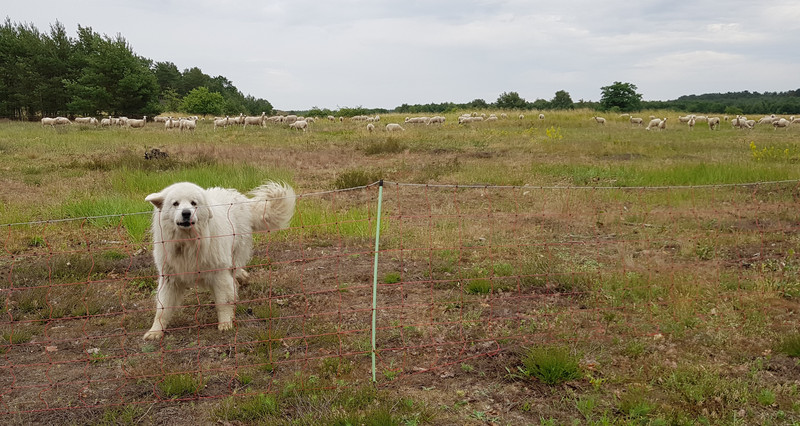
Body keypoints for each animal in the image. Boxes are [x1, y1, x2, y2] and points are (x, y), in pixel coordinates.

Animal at [142, 181, 296, 340]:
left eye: (193, 203)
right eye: (175, 203)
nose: (186, 213)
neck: (188, 242)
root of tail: (240, 198)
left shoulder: (219, 274)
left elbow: (223, 302)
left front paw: (225, 323)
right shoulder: (169, 279)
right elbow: (162, 309)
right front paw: (155, 331)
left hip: (235, 252)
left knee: (234, 273)